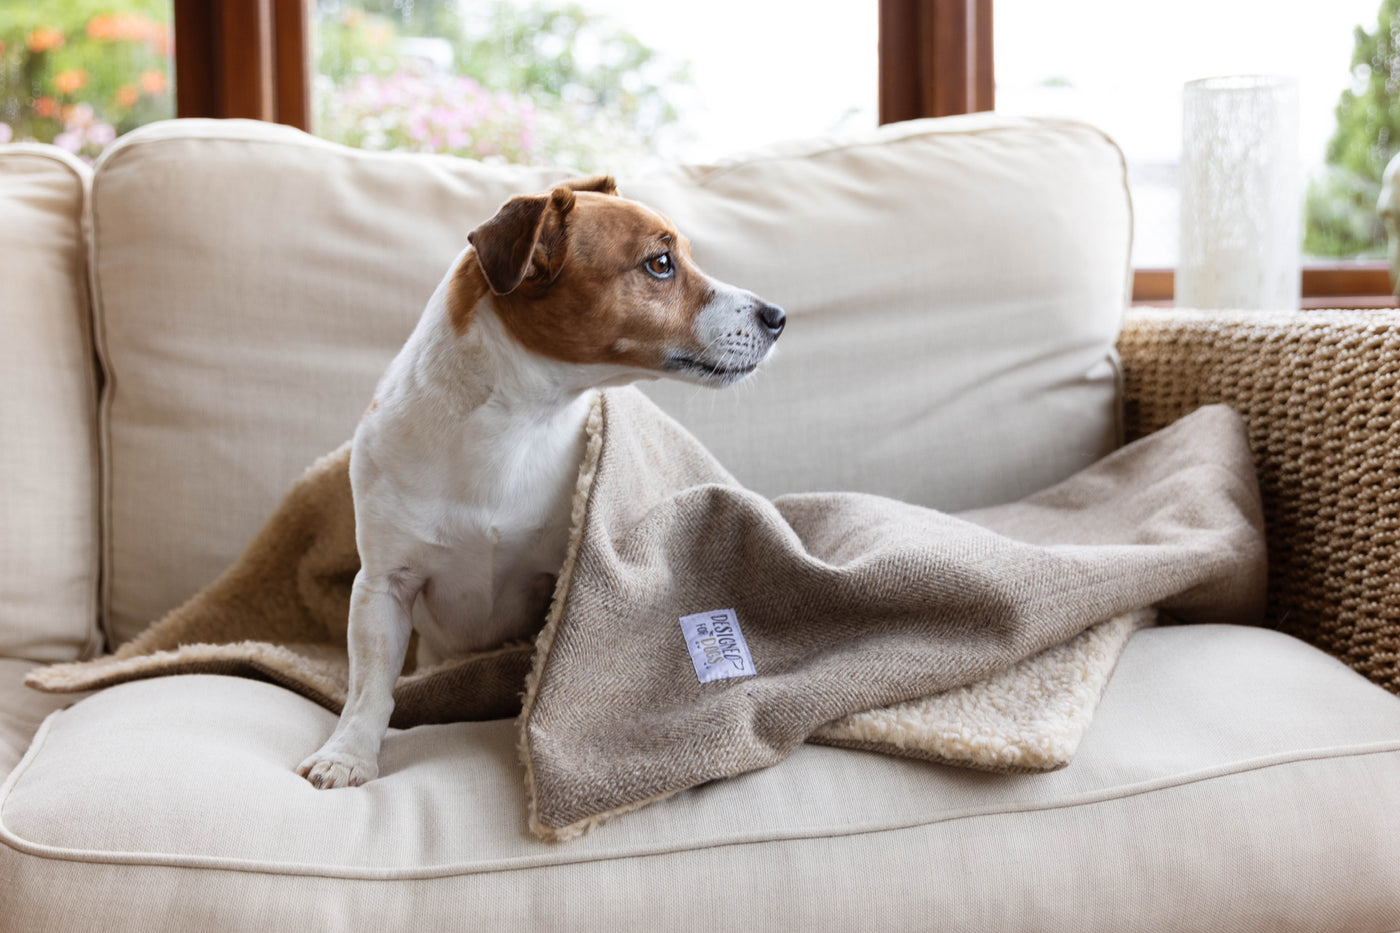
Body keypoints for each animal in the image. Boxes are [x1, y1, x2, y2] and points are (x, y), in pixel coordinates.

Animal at [296, 176, 789, 784]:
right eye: (661, 263)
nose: (778, 316)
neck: (515, 426)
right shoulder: (383, 586)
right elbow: (368, 688)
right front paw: (347, 755)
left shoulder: (562, 576)